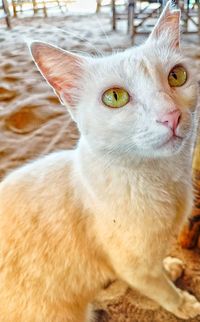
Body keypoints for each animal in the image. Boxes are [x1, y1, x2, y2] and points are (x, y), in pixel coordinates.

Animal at [0, 1, 200, 320]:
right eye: (115, 97)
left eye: (176, 76)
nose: (171, 115)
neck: (164, 178)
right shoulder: (133, 267)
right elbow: (160, 289)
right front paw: (182, 303)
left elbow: (159, 267)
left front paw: (169, 266)